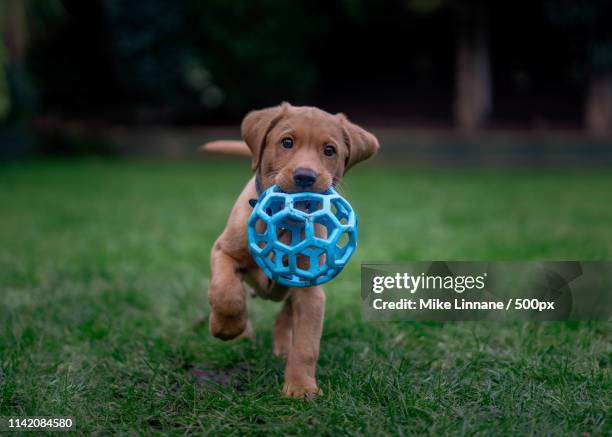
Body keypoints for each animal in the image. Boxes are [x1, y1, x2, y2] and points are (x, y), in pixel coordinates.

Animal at [203, 103, 380, 398]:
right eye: (287, 142)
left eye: (329, 150)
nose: (305, 176)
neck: (286, 222)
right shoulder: (224, 252)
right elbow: (227, 294)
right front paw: (226, 327)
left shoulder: (311, 289)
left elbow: (306, 345)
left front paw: (301, 386)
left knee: (285, 314)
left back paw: (283, 345)